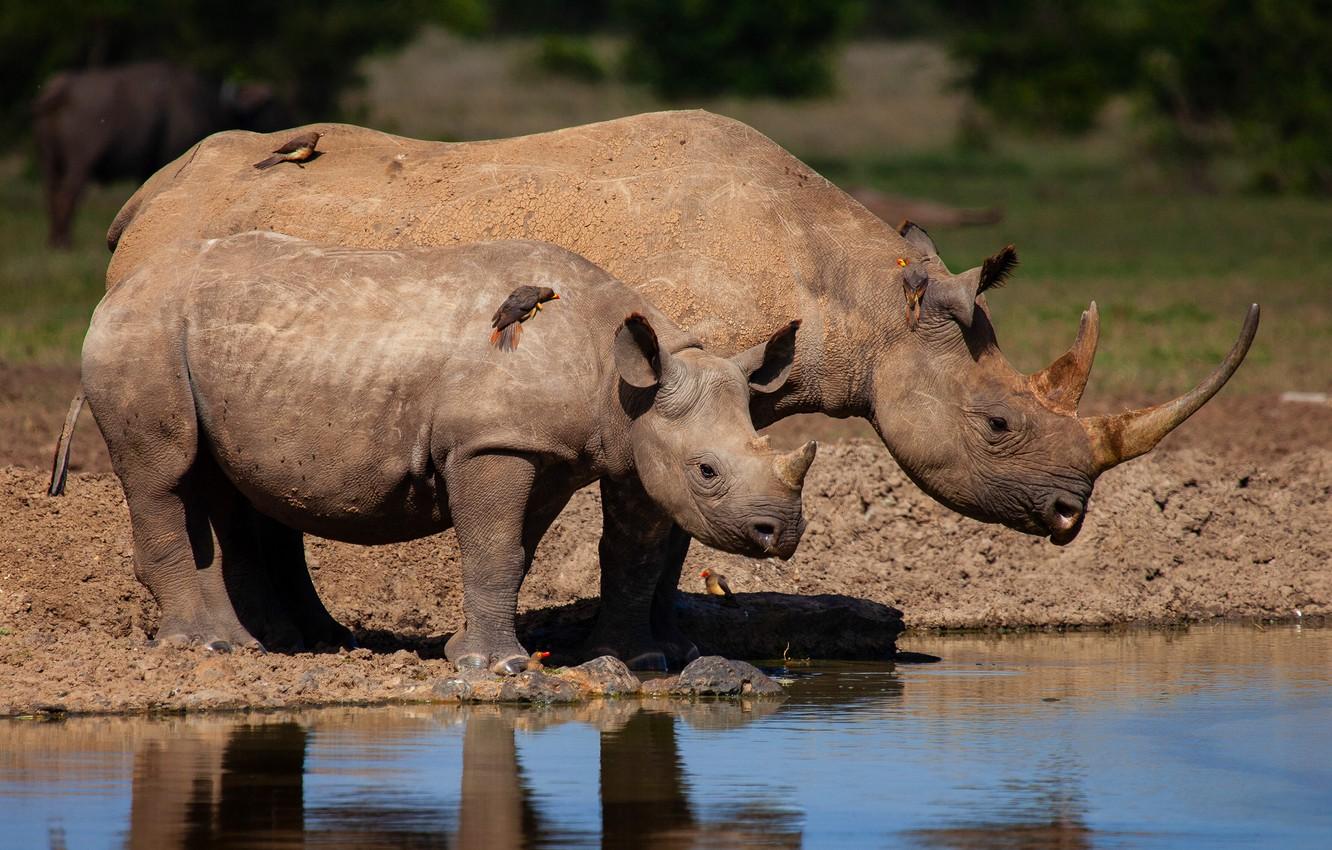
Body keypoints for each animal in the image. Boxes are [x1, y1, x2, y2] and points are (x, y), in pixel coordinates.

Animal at [79, 232, 815, 673]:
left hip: (198, 345)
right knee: (161, 477)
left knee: (213, 483)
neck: (621, 383)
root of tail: (115, 289)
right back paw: (204, 644)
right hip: (143, 335)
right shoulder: (491, 444)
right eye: (706, 470)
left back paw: (256, 645)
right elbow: (492, 549)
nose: (780, 534)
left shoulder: (551, 451)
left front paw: (481, 654)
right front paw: (498, 666)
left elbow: (519, 553)